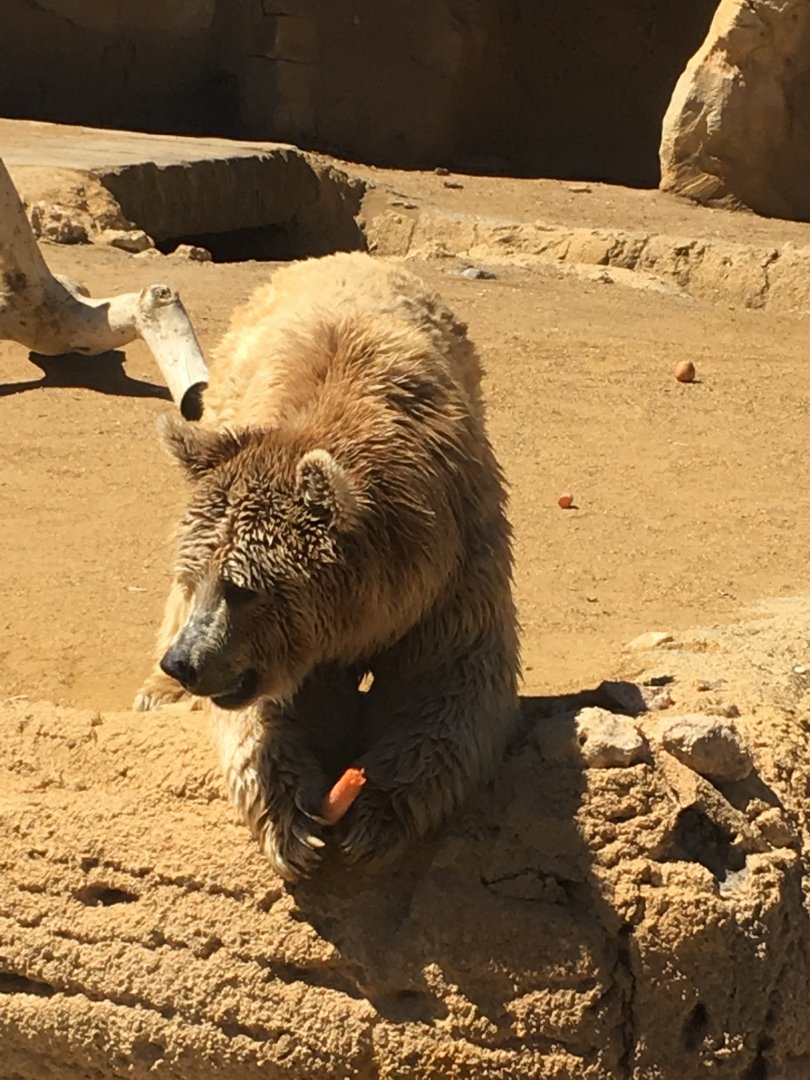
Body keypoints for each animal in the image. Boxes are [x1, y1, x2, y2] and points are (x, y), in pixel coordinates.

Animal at [134, 251, 520, 881]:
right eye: (203, 580)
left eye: (243, 588)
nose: (186, 663)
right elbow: (269, 717)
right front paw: (293, 822)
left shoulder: (455, 567)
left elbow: (448, 679)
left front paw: (374, 816)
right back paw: (156, 690)